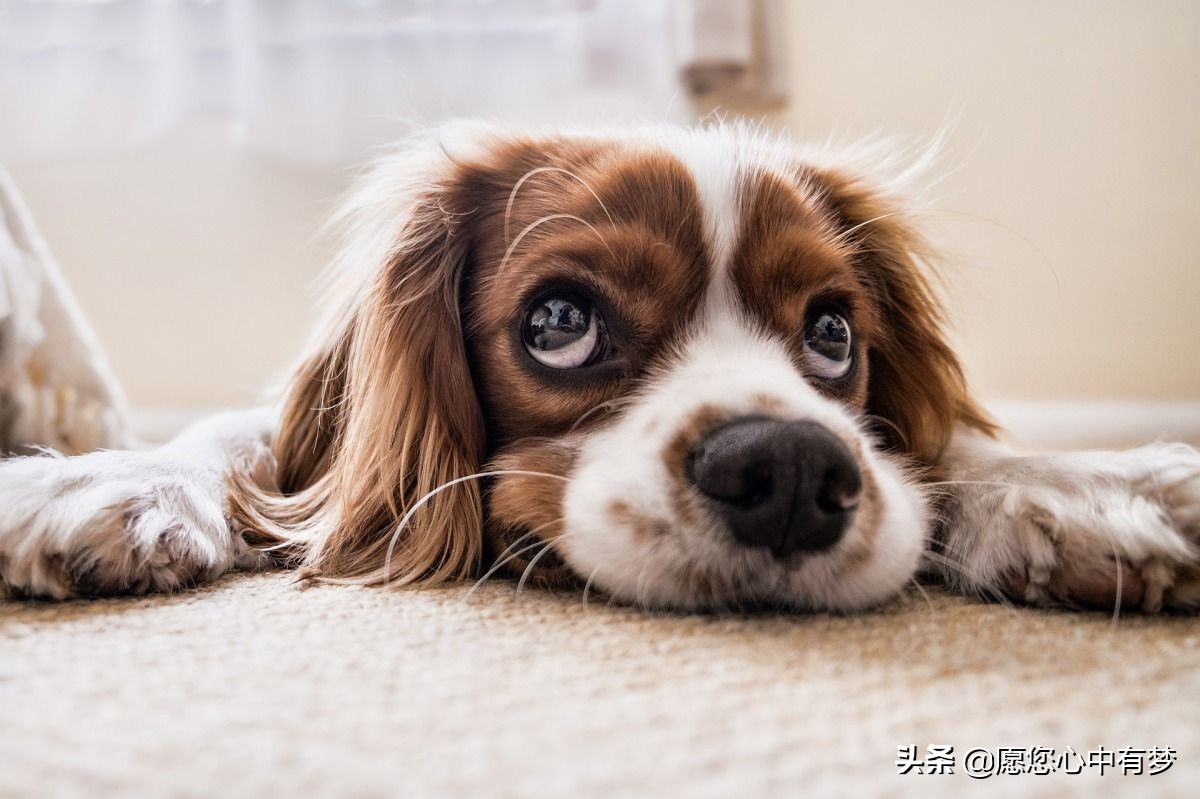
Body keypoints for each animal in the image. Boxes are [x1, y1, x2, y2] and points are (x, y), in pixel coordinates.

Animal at [2, 121, 1200, 609]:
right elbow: (239, 439)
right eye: (560, 322)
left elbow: (950, 449)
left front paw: (1085, 486)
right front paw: (106, 479)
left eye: (832, 333)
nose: (791, 470)